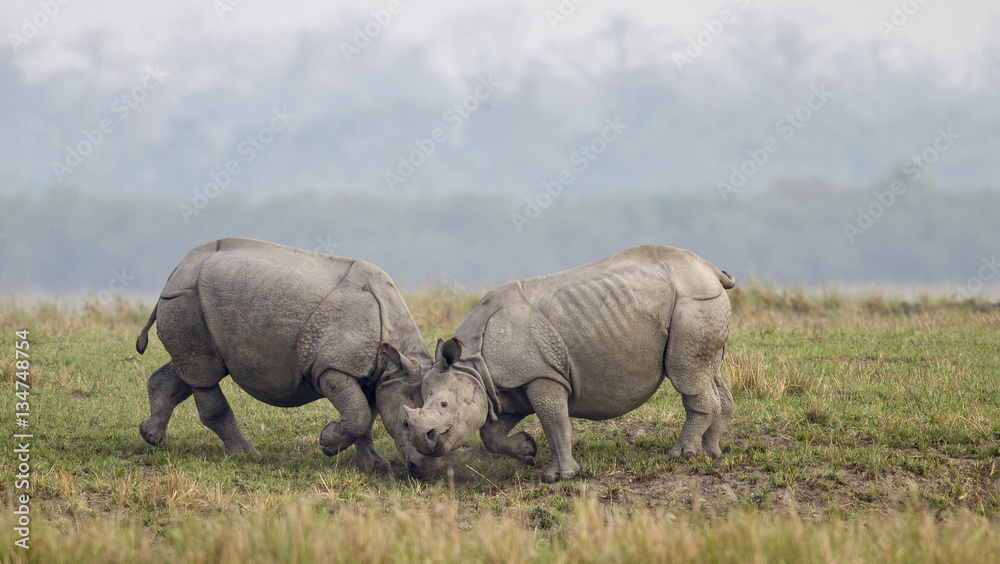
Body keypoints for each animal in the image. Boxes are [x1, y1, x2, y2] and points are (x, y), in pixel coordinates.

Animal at [135, 237, 433, 472]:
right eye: (406, 423)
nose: (422, 468)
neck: (397, 359)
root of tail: (178, 269)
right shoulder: (331, 367)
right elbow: (359, 414)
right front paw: (327, 441)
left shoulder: (375, 375)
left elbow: (367, 416)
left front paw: (373, 464)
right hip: (187, 297)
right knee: (205, 375)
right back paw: (246, 455)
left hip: (190, 300)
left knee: (189, 370)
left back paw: (153, 438)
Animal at [389, 245, 736, 482]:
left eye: (444, 405)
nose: (422, 442)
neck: (472, 365)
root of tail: (709, 269)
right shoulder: (507, 387)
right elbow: (492, 435)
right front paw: (527, 450)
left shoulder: (541, 375)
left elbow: (555, 422)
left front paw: (559, 477)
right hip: (701, 302)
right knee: (707, 372)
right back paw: (711, 451)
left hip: (693, 301)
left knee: (686, 375)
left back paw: (682, 454)